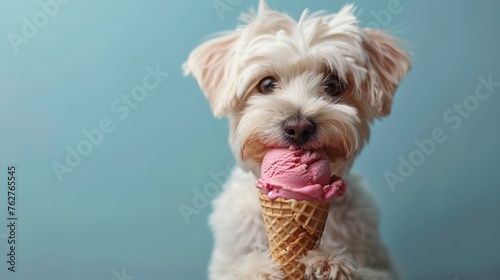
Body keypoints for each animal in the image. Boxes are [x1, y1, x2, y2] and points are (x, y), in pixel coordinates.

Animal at [184, 1, 410, 278]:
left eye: (334, 85)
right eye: (266, 84)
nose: (299, 127)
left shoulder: (379, 262)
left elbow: (367, 271)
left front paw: (330, 262)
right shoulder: (227, 258)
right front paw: (258, 269)